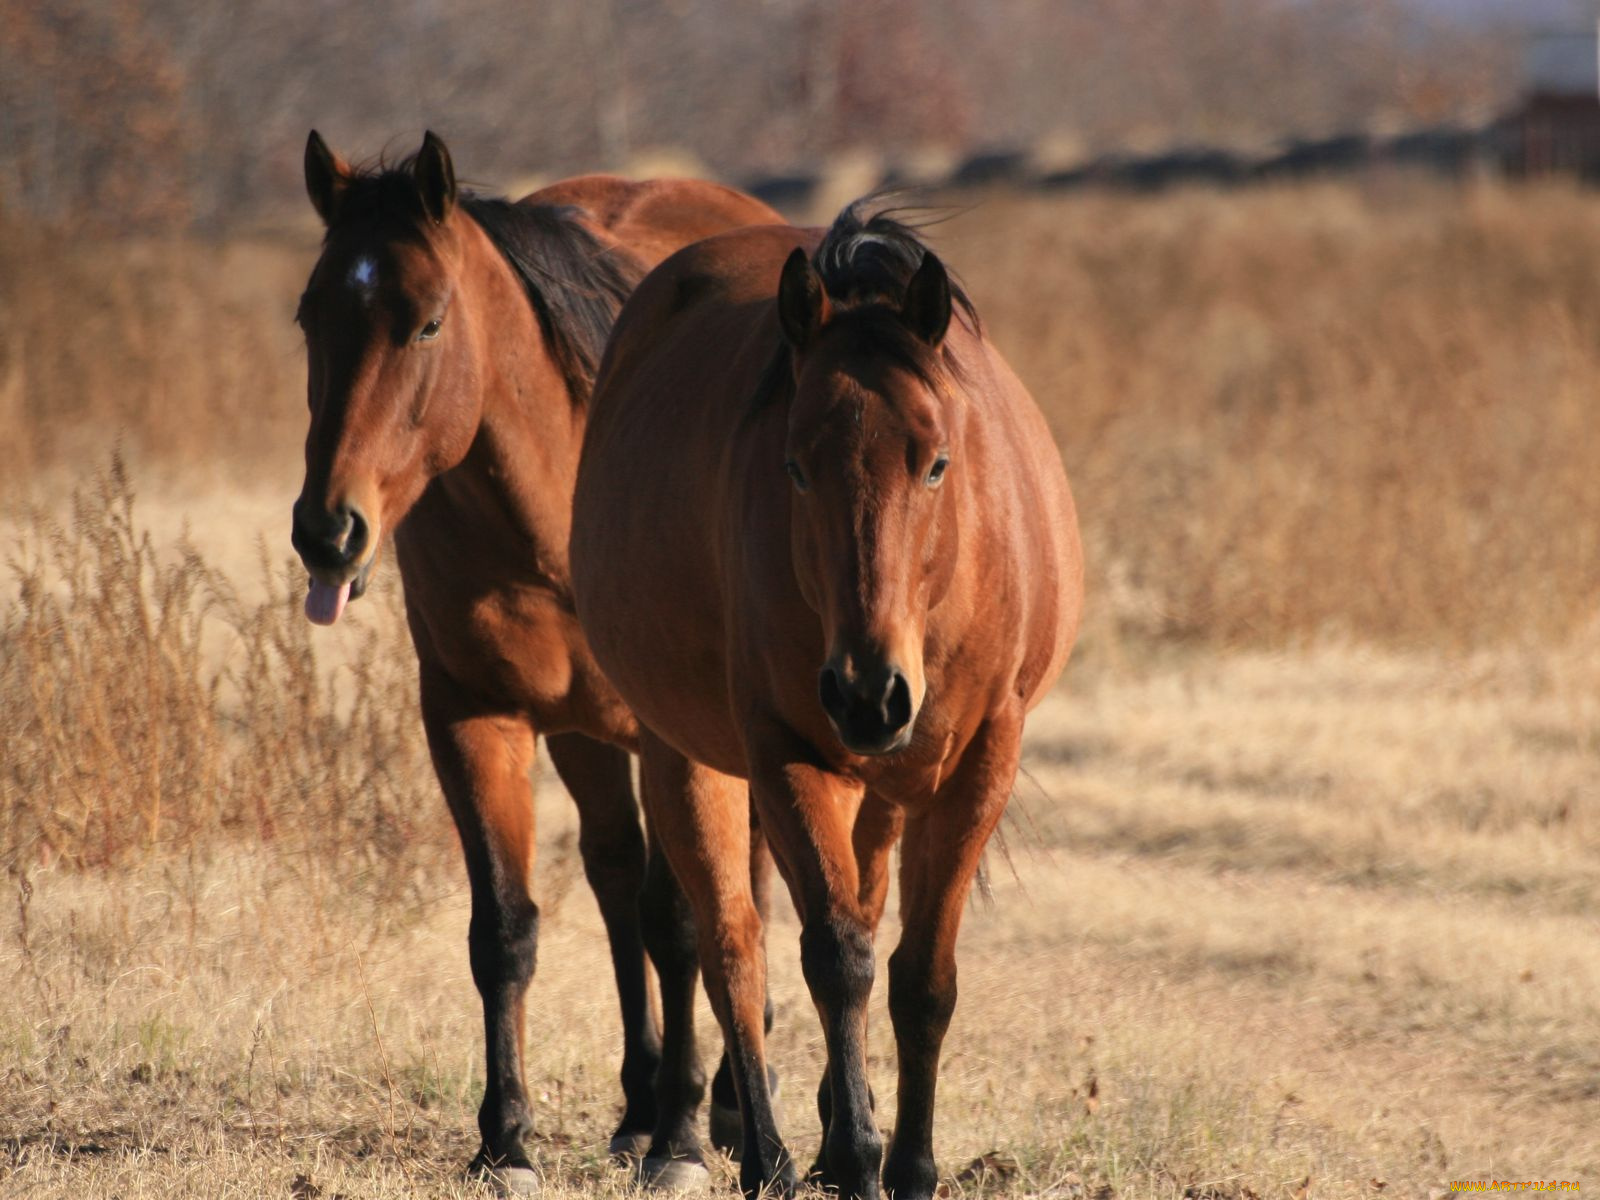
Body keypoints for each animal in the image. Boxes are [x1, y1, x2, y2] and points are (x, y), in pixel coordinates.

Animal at [291, 131, 784, 1196]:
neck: (551, 502)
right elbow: (506, 930)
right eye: (311, 317)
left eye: (428, 321)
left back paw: (723, 1105)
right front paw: (507, 1139)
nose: (327, 533)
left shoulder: (672, 741)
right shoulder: (474, 721)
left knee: (733, 892)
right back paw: (639, 1108)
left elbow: (684, 923)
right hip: (583, 738)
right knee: (614, 878)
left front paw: (685, 1140)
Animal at [569, 206, 1081, 1200]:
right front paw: (853, 1161)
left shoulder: (981, 760)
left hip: (875, 791)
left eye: (937, 463)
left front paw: (910, 1164)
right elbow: (835, 958)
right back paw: (760, 1156)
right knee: (730, 945)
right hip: (686, 756)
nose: (868, 694)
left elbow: (923, 977)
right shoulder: (785, 754)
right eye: (796, 467)